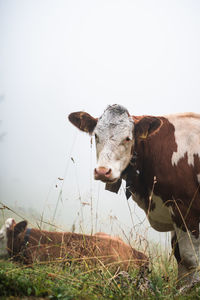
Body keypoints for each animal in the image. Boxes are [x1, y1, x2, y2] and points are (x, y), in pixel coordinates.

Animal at [68, 104, 200, 290]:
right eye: (96, 135)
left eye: (127, 138)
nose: (102, 171)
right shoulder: (173, 210)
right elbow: (179, 256)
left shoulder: (186, 208)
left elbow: (190, 258)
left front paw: (188, 290)